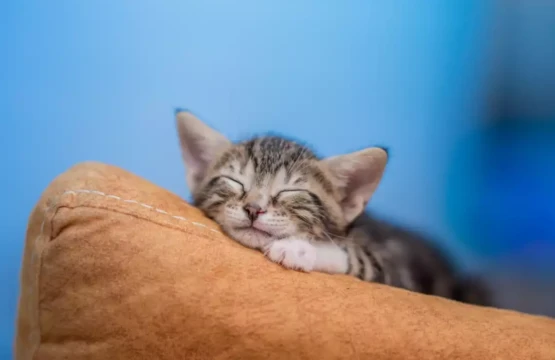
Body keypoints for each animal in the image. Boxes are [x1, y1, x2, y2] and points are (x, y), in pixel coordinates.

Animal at [176, 110, 494, 306]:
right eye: (234, 181)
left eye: (290, 191)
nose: (254, 208)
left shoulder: (400, 272)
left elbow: (354, 257)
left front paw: (297, 248)